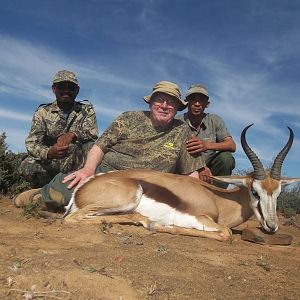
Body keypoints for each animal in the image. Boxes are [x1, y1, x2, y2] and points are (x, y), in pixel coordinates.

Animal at [63, 124, 300, 241]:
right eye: (255, 191)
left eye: (278, 193)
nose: (271, 226)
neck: (219, 201)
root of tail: (81, 189)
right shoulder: (199, 217)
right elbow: (226, 233)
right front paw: (165, 227)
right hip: (128, 198)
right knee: (71, 219)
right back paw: (148, 222)